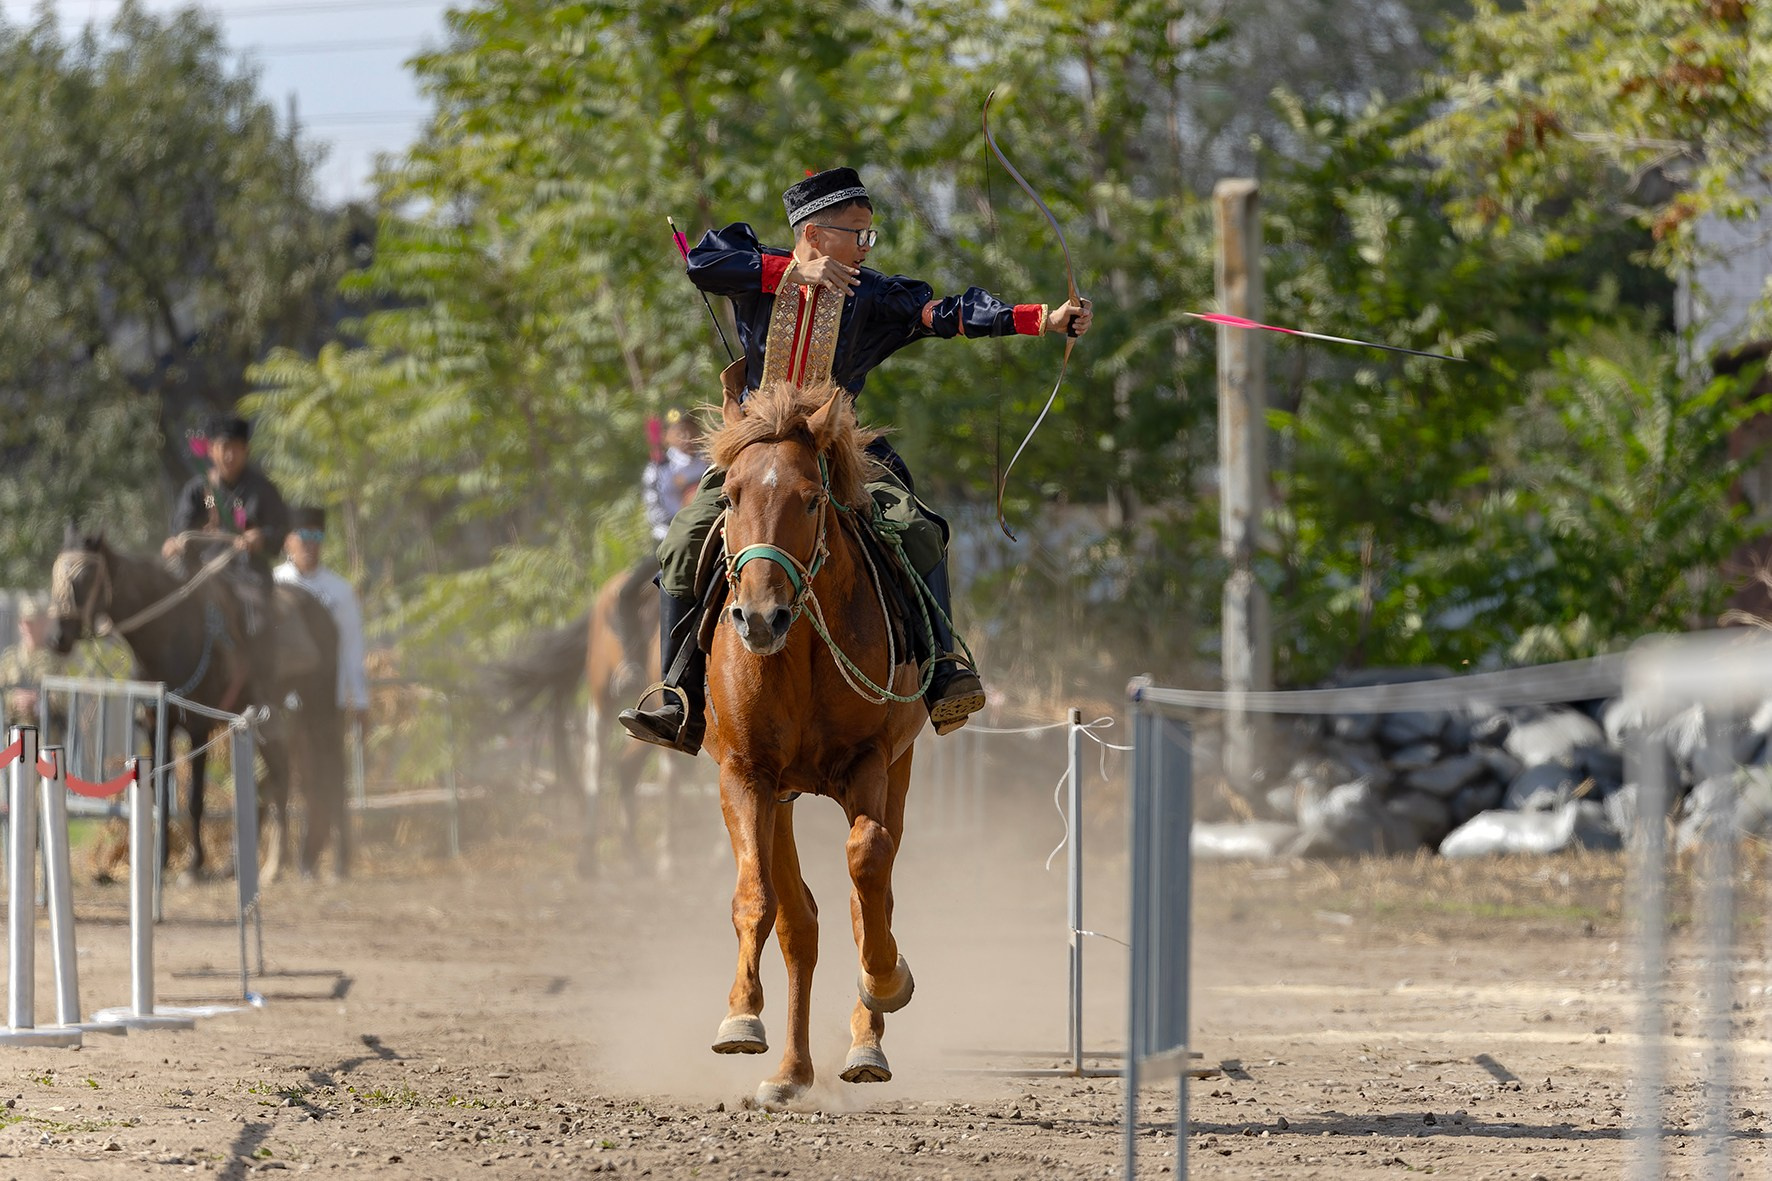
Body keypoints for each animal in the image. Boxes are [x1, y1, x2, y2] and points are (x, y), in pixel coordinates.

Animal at [46, 530, 348, 882]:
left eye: (85, 577)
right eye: (55, 576)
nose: (57, 637)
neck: (168, 632)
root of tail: (321, 609)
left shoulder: (198, 728)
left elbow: (194, 799)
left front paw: (193, 864)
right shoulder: (157, 726)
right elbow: (159, 793)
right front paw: (160, 859)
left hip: (318, 704)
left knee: (328, 767)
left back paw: (330, 862)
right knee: (281, 775)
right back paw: (275, 862)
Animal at [700, 379, 926, 1109]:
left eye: (809, 498)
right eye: (731, 496)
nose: (759, 617)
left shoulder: (871, 763)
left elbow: (867, 861)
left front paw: (887, 980)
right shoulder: (746, 773)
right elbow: (758, 898)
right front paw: (741, 1017)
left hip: (900, 767)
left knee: (867, 893)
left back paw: (865, 1044)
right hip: (781, 796)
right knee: (800, 921)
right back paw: (791, 1071)